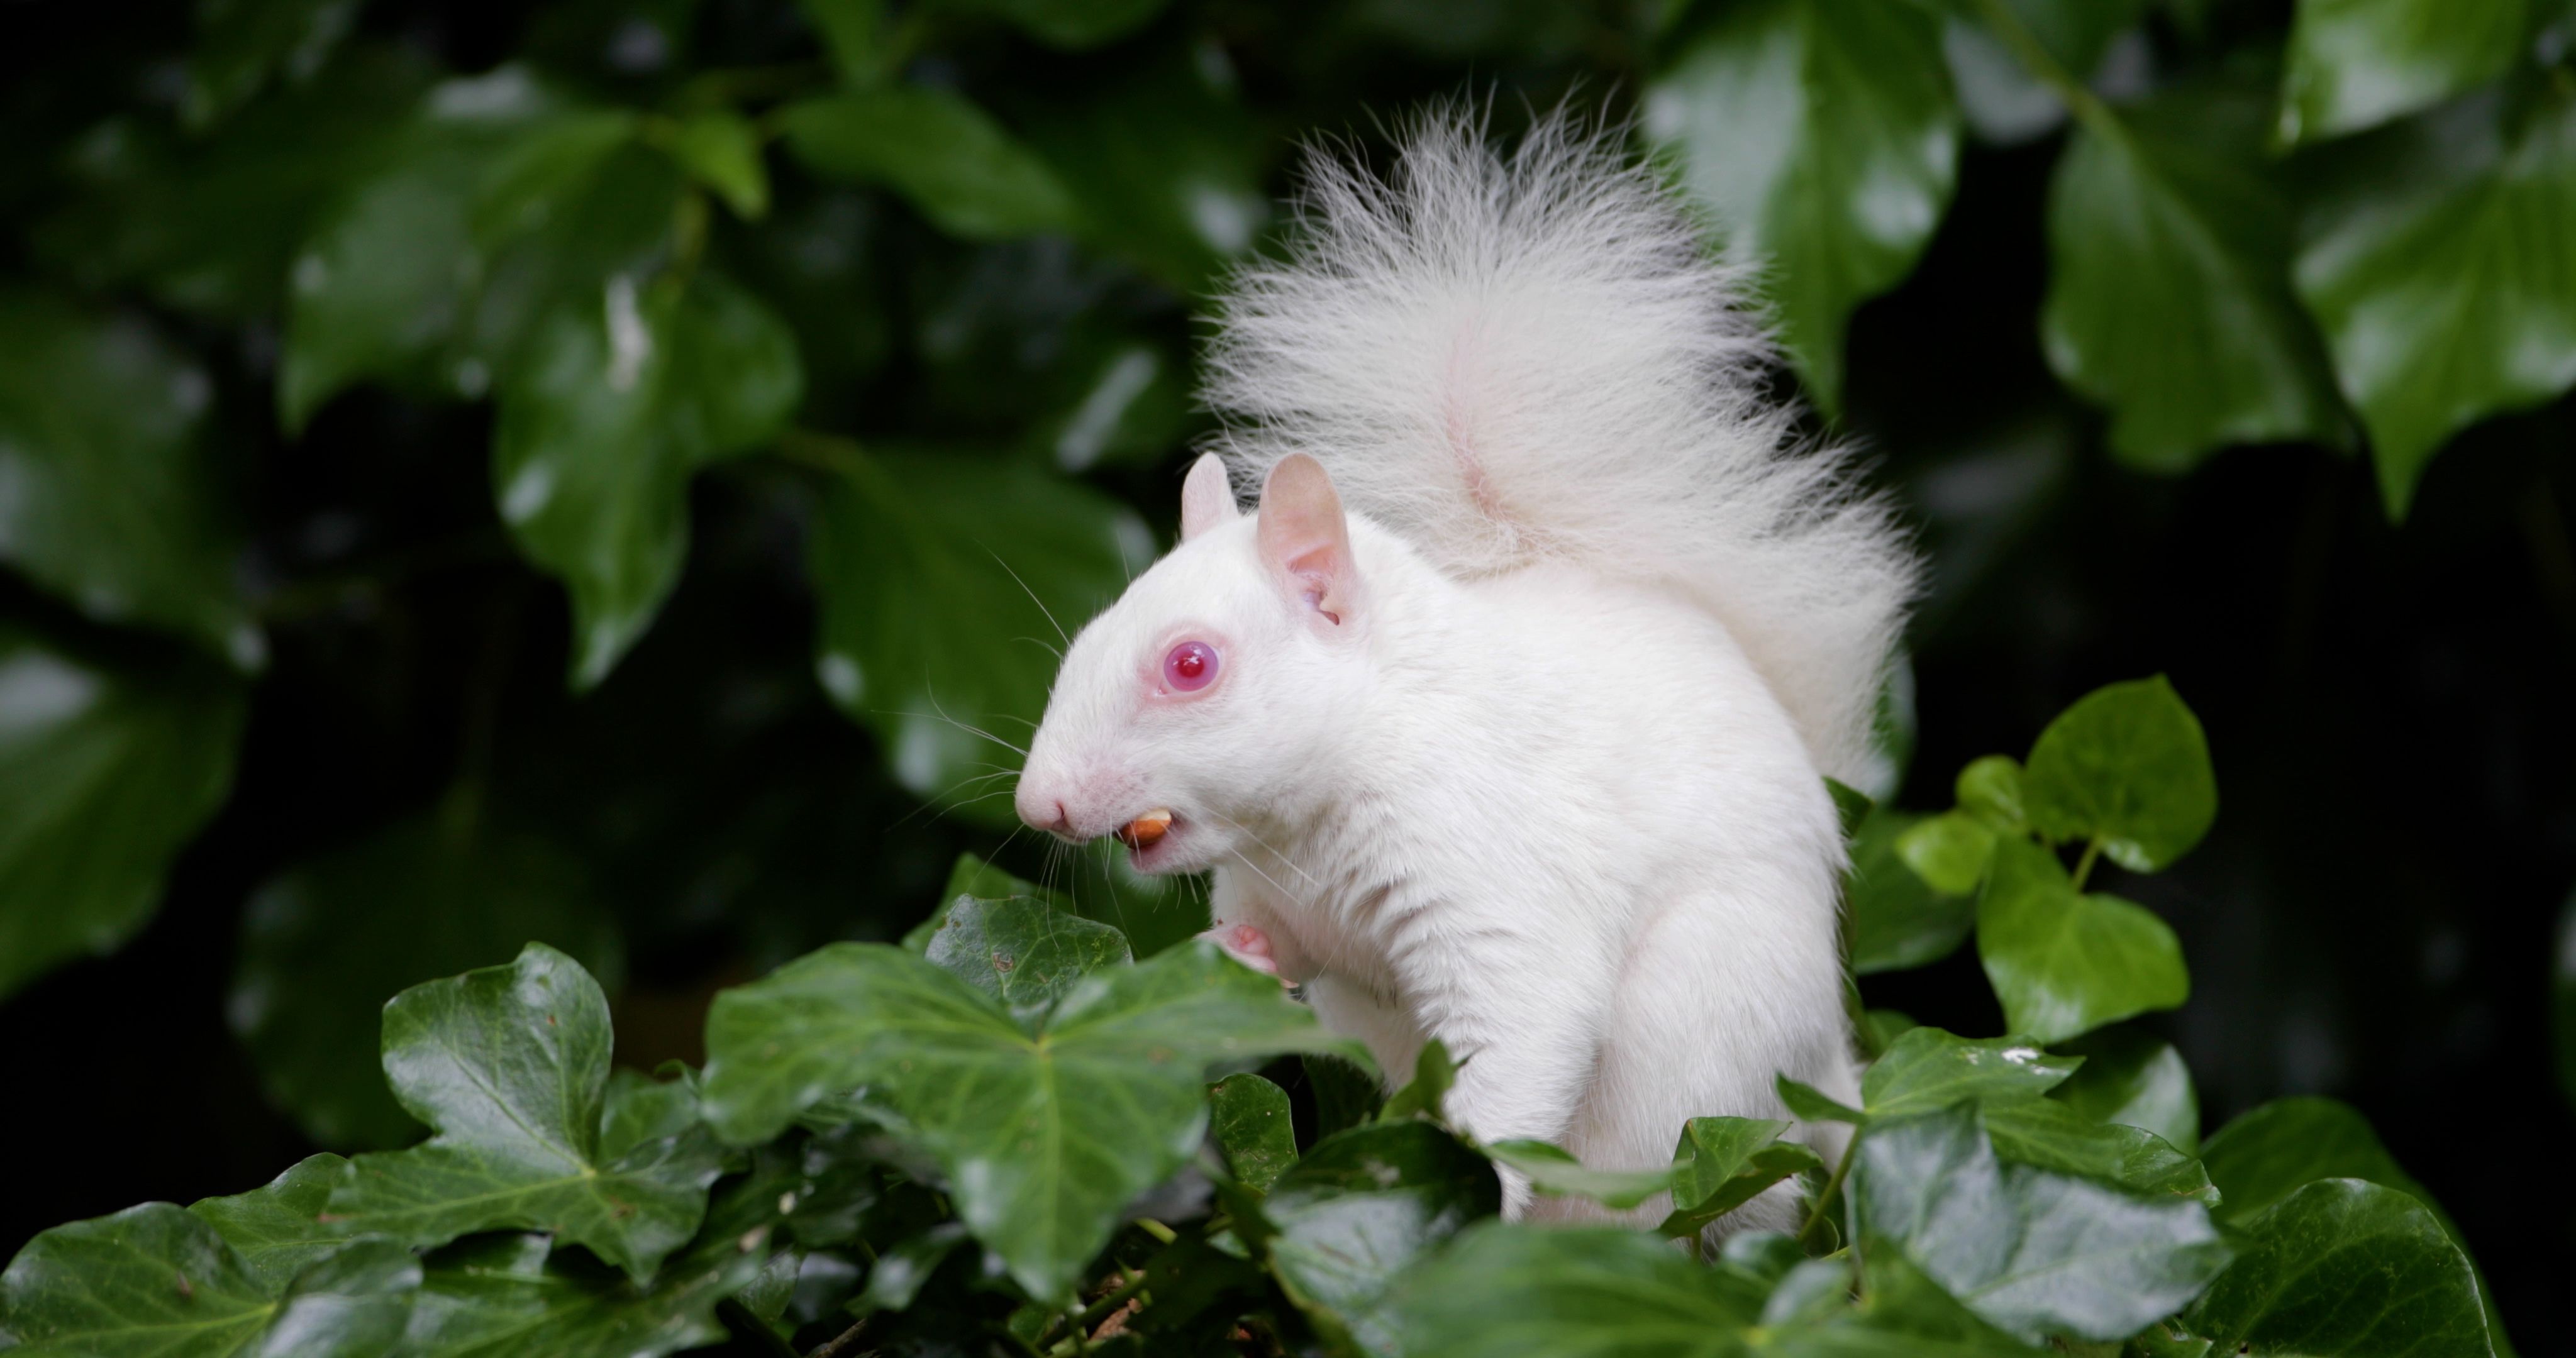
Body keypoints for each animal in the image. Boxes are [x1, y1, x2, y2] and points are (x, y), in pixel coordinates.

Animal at [1014, 112, 1916, 1229]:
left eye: (1191, 664)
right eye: (1088, 635)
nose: (1040, 804)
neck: (1310, 828)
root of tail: (1831, 1061)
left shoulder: (1497, 871)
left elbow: (1524, 1032)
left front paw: (1461, 1208)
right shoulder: (1281, 903)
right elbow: (1276, 959)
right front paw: (1228, 968)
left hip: (1701, 1062)